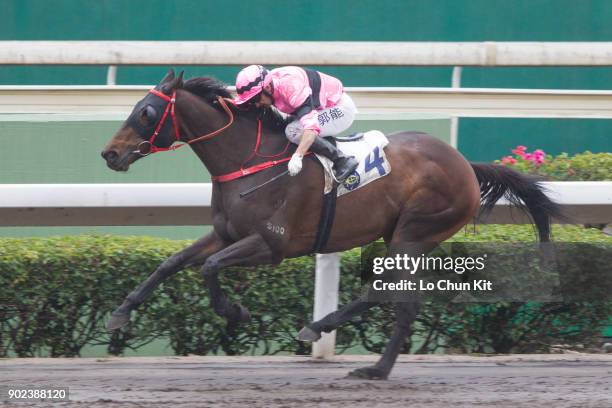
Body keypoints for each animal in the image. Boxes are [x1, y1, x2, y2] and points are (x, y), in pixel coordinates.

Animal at [100, 70, 560, 380]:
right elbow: (172, 263)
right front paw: (119, 313)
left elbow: (209, 269)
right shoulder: (225, 234)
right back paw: (343, 343)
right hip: (400, 235)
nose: (110, 154)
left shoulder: (271, 245)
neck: (248, 161)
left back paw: (360, 358)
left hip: (413, 233)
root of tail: (465, 164)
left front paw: (236, 311)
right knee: (387, 295)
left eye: (147, 111)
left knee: (394, 298)